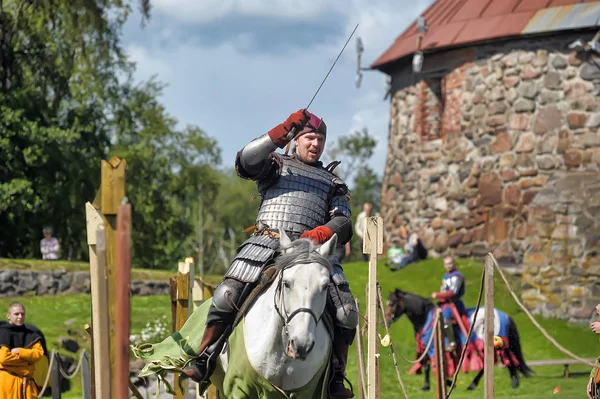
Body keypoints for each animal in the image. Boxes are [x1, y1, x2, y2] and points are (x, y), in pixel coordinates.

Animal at [384, 290, 528, 392]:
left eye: (391, 303)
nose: (385, 320)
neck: (425, 318)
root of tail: (506, 315)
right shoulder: (426, 347)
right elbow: (426, 365)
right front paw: (426, 386)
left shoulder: (433, 347)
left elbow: (434, 365)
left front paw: (447, 382)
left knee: (502, 360)